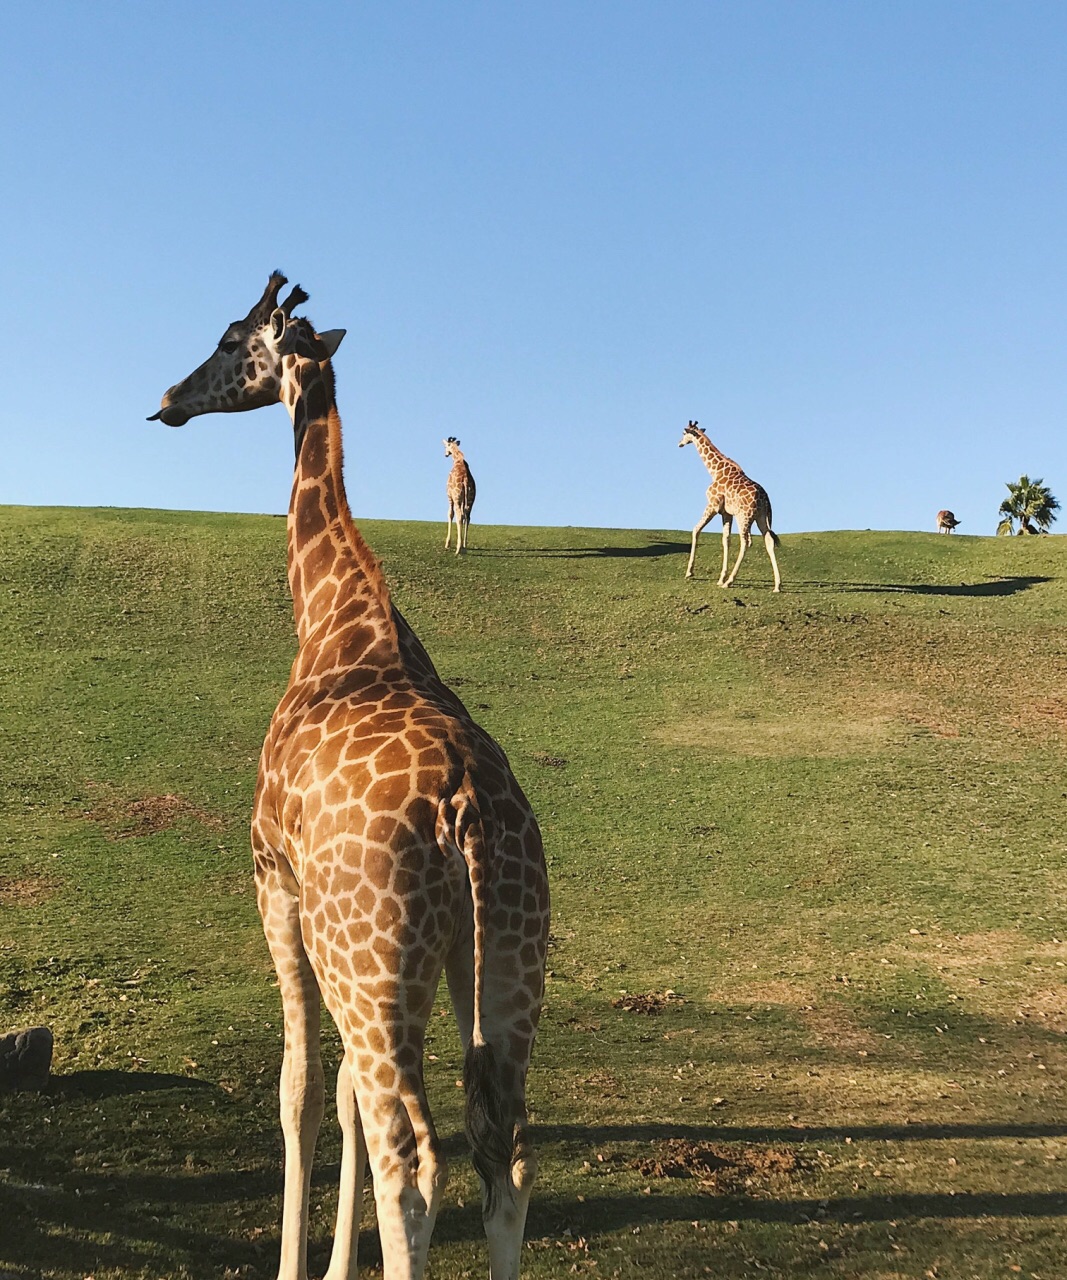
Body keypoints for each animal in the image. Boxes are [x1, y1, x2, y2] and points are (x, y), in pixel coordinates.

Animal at [147, 277, 547, 1280]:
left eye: (227, 338)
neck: (334, 618)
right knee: (504, 1154)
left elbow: (296, 1090)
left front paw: (299, 1265)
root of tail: (463, 810)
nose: (168, 399)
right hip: (501, 961)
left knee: (414, 1157)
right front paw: (333, 1264)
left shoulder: (273, 881)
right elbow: (337, 1098)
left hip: (370, 958)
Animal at [675, 424, 777, 593]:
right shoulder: (726, 513)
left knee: (746, 542)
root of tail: (766, 499)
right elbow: (726, 540)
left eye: (684, 433)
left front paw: (689, 572)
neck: (715, 471)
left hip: (744, 516)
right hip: (761, 517)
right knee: (768, 540)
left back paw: (729, 581)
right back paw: (777, 585)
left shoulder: (713, 505)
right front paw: (720, 577)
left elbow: (696, 529)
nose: (679, 444)